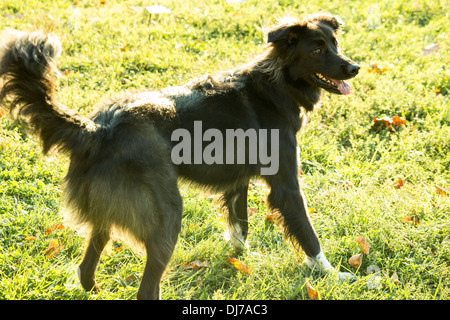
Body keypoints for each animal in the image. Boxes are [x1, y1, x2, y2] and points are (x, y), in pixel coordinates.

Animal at [0, 11, 358, 298]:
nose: (354, 67)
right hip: (166, 216)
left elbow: (239, 226)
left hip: (107, 215)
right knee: (146, 289)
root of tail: (98, 130)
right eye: (317, 50)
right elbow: (308, 235)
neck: (276, 84)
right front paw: (334, 275)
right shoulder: (285, 186)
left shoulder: (237, 182)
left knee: (87, 270)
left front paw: (241, 259)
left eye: (335, 43)